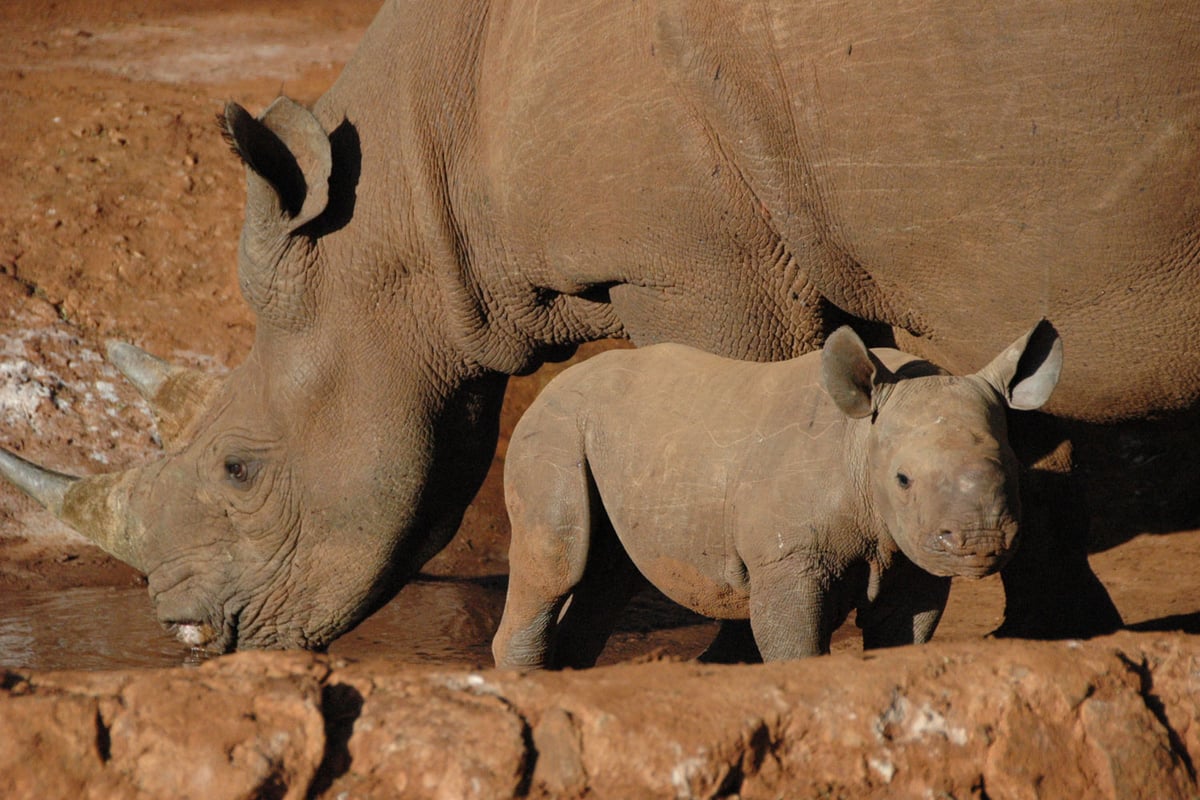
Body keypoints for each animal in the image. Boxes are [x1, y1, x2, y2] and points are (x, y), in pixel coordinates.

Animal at [493, 323, 1061, 667]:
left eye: (1012, 470)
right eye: (902, 479)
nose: (979, 542)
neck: (861, 446)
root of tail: (551, 384)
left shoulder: (910, 557)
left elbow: (903, 638)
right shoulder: (788, 558)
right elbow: (795, 648)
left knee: (608, 577)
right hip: (555, 430)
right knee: (557, 562)